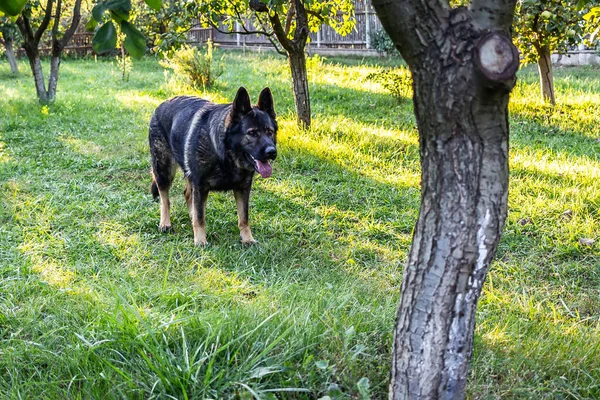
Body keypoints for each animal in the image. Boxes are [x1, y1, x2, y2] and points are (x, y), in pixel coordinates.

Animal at [150, 86, 278, 245]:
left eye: (270, 132)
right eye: (252, 133)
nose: (272, 152)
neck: (225, 155)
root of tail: (162, 104)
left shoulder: (242, 189)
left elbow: (244, 218)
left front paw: (247, 239)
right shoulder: (200, 186)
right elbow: (200, 218)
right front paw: (200, 241)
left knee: (188, 195)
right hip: (164, 171)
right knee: (165, 200)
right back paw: (165, 223)